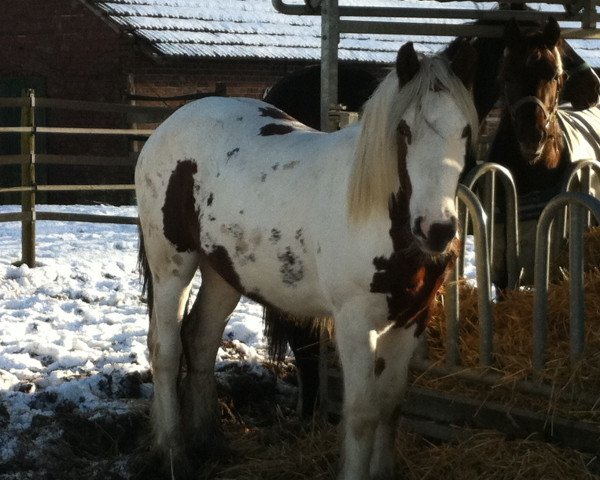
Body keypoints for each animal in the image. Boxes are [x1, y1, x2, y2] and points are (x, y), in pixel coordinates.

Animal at [136, 42, 478, 480]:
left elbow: (391, 406)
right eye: (404, 131)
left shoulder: (411, 320)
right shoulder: (355, 324)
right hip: (171, 266)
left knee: (201, 339)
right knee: (165, 349)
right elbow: (362, 413)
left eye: (464, 131)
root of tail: (169, 125)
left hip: (223, 273)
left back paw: (209, 442)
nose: (436, 230)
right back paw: (173, 452)